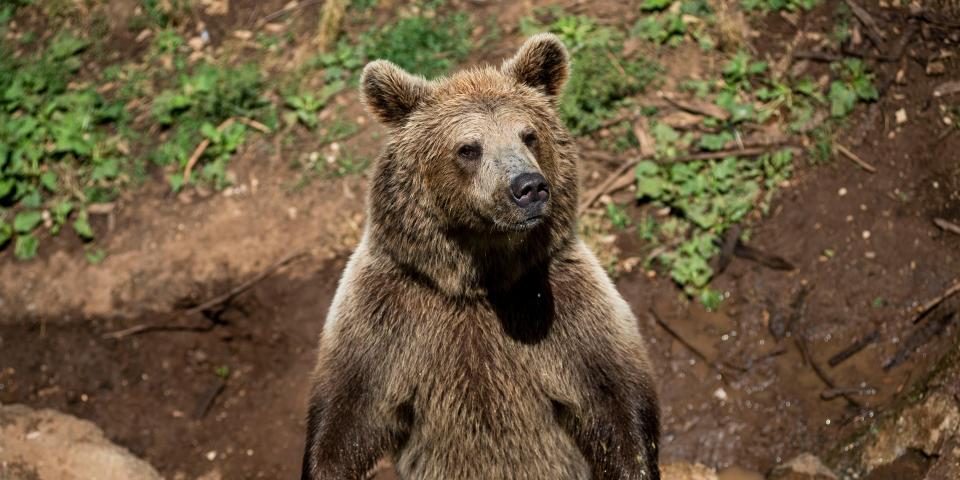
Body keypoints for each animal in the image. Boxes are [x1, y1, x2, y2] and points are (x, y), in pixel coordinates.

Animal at [300, 34, 660, 480]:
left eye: (528, 134)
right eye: (468, 148)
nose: (529, 187)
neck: (479, 277)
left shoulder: (561, 302)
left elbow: (613, 397)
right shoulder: (390, 310)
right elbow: (349, 411)